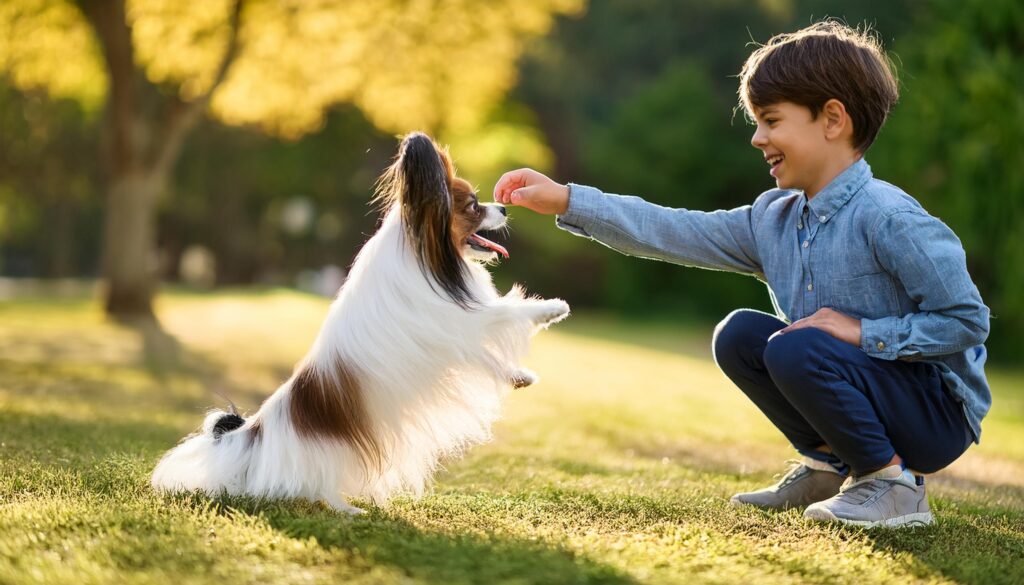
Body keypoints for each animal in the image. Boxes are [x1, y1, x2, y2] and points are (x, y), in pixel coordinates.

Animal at [149, 131, 573, 512]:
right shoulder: (453, 323)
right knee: (318, 490)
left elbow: (489, 349)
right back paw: (348, 511)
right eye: (472, 206)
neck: (422, 251)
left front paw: (519, 374)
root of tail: (254, 438)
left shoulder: (452, 333)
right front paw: (551, 309)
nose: (503, 208)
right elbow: (504, 315)